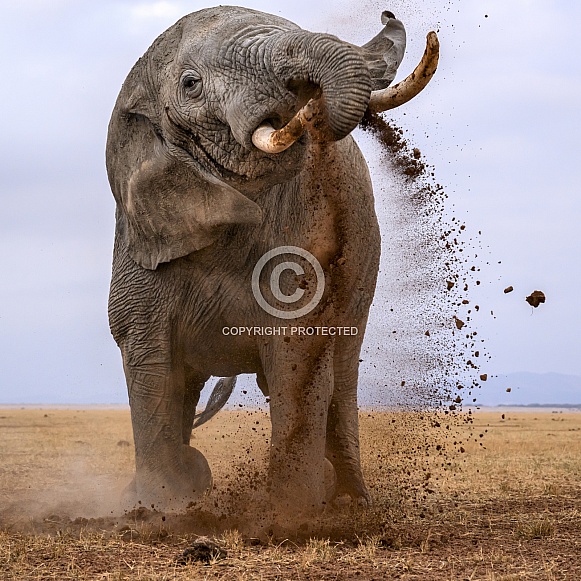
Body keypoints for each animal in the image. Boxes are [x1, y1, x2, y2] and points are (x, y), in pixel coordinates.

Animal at [106, 2, 438, 516]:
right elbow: (148, 355)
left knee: (342, 369)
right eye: (190, 84)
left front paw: (293, 511)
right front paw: (162, 509)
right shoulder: (139, 240)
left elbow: (296, 346)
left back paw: (350, 500)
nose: (309, 102)